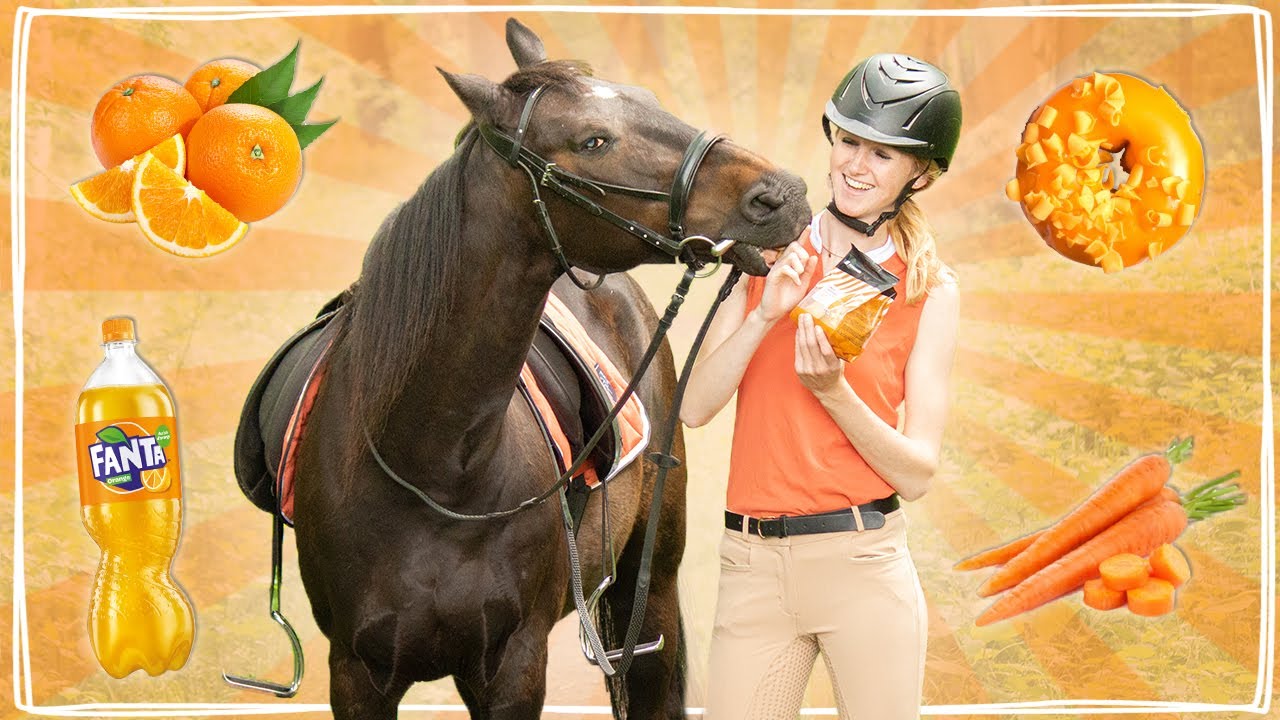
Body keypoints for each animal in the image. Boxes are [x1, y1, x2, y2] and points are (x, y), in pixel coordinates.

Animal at [232, 19, 810, 719]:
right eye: (592, 140)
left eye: (645, 97)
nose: (781, 194)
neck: (435, 466)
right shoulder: (356, 674)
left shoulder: (514, 667)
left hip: (651, 591)